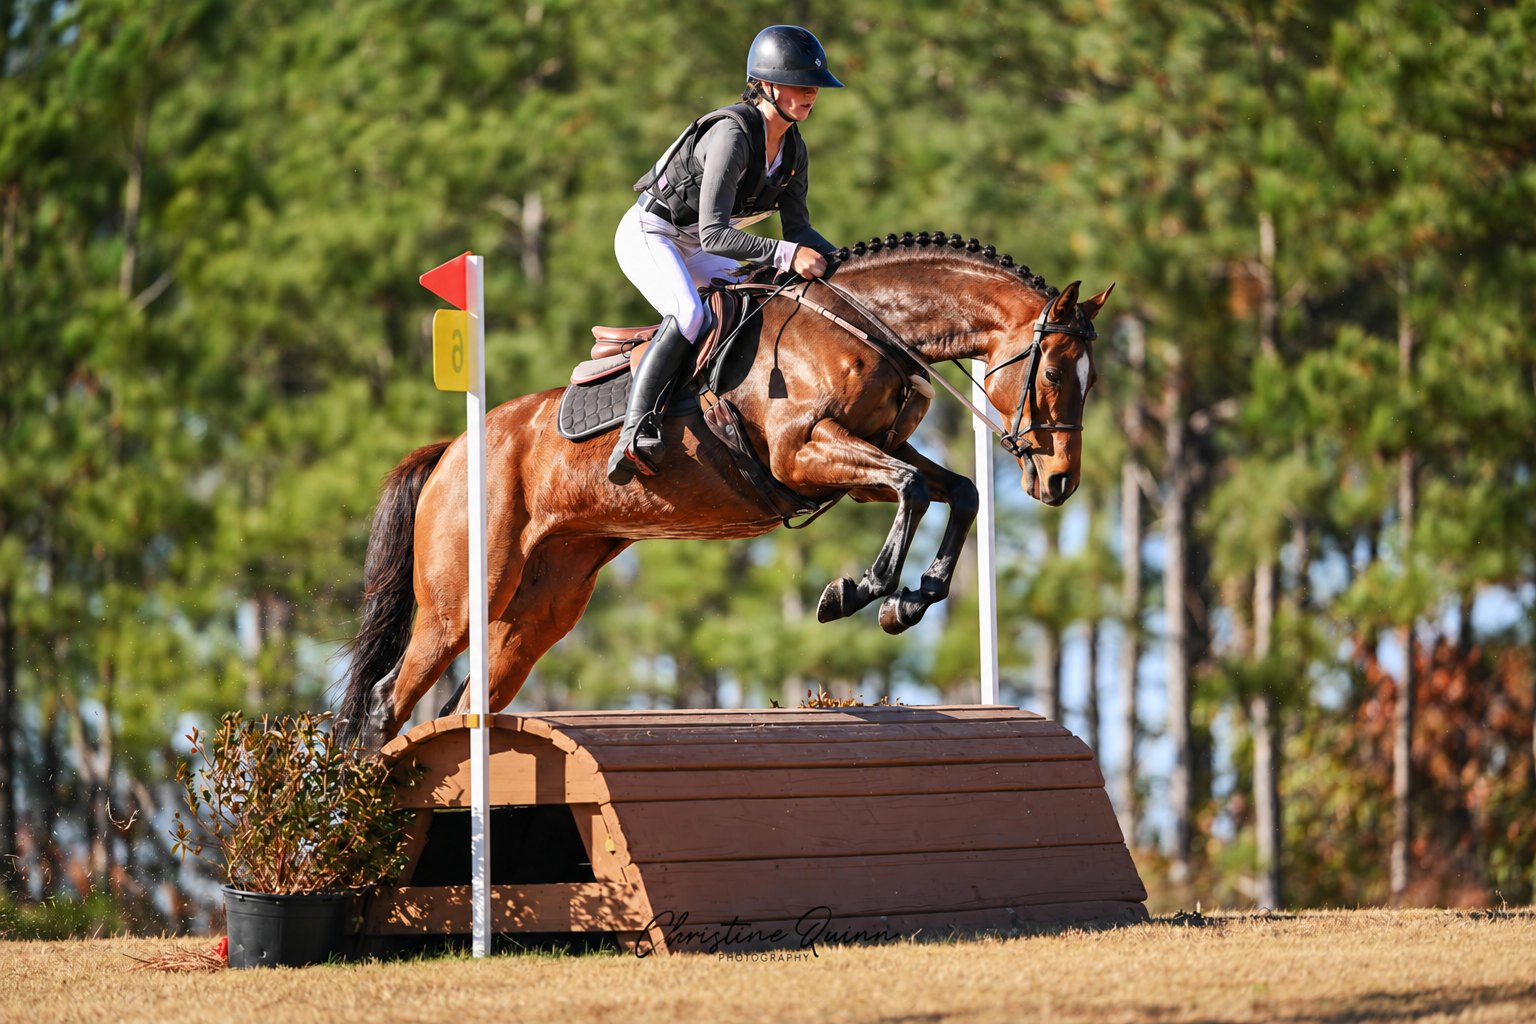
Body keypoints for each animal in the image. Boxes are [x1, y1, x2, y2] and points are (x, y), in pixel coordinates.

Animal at [336, 230, 1112, 750]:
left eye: (1093, 380)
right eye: (1052, 374)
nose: (1059, 482)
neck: (866, 326)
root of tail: (451, 451)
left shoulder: (866, 457)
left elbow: (954, 491)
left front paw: (908, 603)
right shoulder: (804, 453)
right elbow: (916, 487)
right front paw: (857, 592)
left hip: (538, 609)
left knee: (463, 704)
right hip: (462, 601)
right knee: (387, 699)